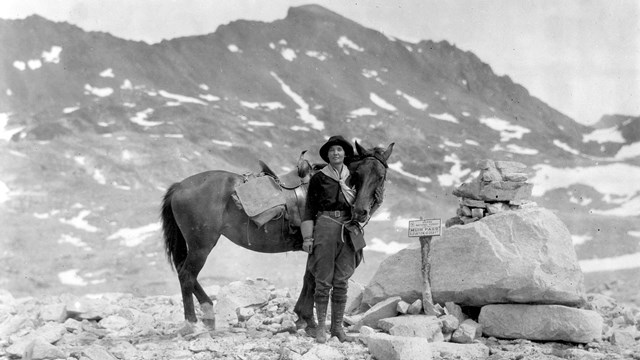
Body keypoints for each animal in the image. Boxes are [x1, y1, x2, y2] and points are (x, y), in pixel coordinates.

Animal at [160, 141, 392, 326]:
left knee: (185, 274)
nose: (360, 211)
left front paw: (302, 317)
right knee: (187, 275)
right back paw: (192, 323)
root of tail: (179, 186)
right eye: (358, 174)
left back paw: (208, 314)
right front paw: (306, 318)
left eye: (380, 176)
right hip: (201, 245)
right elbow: (311, 278)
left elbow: (309, 277)